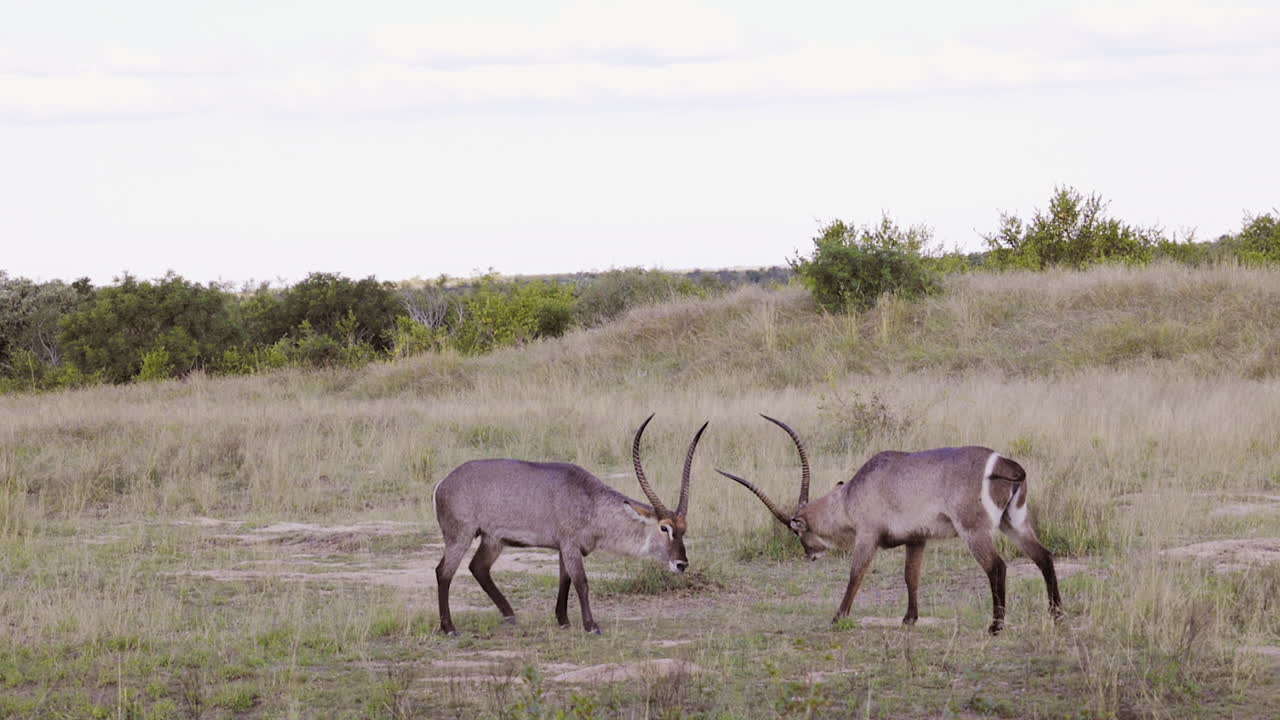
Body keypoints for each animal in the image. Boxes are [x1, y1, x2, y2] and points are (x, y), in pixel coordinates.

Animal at [432, 415, 708, 635]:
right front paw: (591, 625)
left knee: (478, 567)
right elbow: (581, 582)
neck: (591, 502)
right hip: (460, 536)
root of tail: (443, 483)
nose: (681, 564)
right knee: (443, 572)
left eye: (683, 529)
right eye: (664, 527)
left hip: (492, 540)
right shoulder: (570, 547)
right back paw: (449, 628)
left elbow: (564, 580)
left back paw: (510, 614)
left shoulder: (564, 549)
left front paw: (563, 620)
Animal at [718, 415, 1063, 634]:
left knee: (997, 567)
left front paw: (838, 617)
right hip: (1014, 523)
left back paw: (995, 626)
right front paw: (909, 619)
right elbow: (911, 576)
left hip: (975, 531)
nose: (810, 555)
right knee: (1043, 557)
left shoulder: (867, 537)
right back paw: (1057, 615)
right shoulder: (916, 539)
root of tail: (1005, 464)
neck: (849, 495)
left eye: (796, 530)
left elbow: (856, 575)